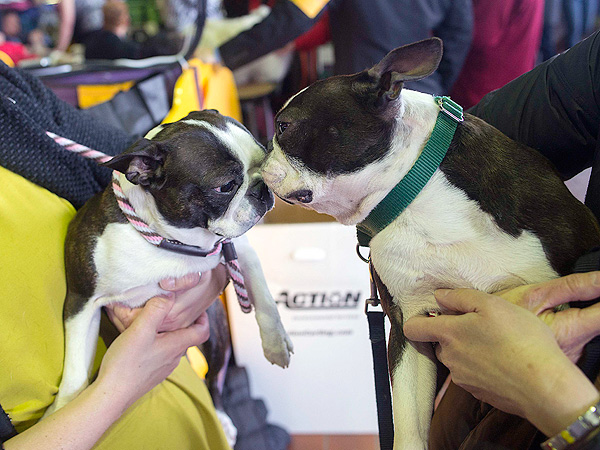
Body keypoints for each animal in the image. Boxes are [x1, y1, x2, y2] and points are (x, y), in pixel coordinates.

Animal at [45, 110, 292, 416]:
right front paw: (63, 406)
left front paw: (275, 343)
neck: (170, 241)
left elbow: (264, 296)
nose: (263, 186)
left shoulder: (238, 248)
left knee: (214, 380)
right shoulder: (82, 301)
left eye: (264, 159)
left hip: (217, 331)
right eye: (225, 186)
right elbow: (75, 370)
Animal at [262, 37, 600, 446]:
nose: (260, 159)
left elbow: (507, 420)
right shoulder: (409, 328)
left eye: (283, 126)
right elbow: (408, 426)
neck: (415, 192)